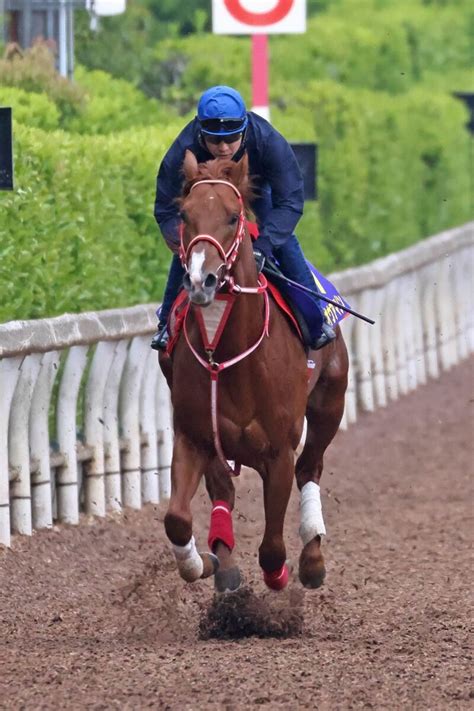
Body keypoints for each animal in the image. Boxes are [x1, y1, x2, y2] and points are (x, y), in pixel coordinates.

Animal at [159, 147, 348, 592]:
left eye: (232, 217)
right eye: (185, 215)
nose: (201, 280)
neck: (226, 355)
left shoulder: (277, 452)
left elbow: (272, 547)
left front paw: (281, 576)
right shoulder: (194, 437)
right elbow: (177, 519)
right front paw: (204, 564)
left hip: (330, 403)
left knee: (310, 467)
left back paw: (312, 558)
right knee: (223, 490)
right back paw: (224, 563)